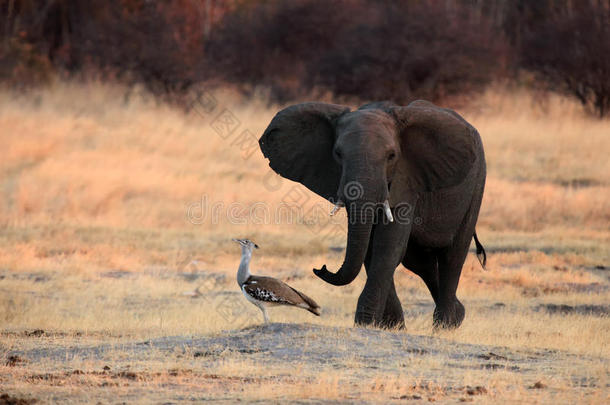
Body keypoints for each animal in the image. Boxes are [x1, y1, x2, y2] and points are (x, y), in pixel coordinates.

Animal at [256, 98, 484, 328]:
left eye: (391, 156)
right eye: (338, 154)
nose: (321, 268)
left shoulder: (406, 179)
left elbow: (388, 245)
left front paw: (366, 324)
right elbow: (370, 248)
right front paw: (391, 327)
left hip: (476, 186)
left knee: (452, 256)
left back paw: (445, 325)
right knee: (420, 262)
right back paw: (457, 314)